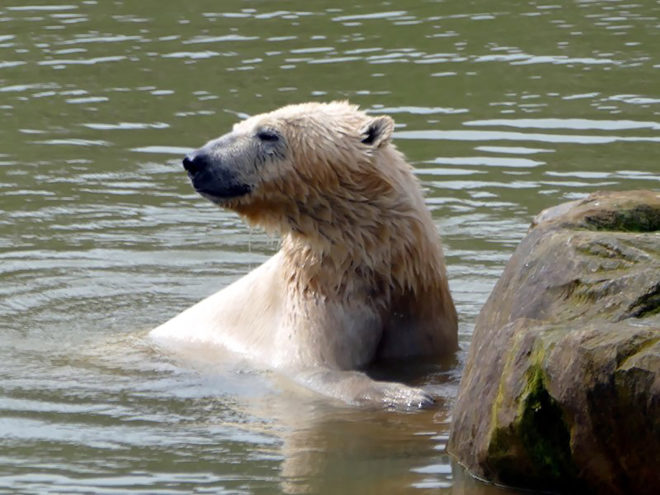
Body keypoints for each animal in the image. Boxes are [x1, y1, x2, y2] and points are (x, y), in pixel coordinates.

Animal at [150, 101, 458, 408]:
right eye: (237, 128)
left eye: (267, 134)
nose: (195, 161)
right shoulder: (313, 300)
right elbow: (313, 371)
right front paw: (408, 393)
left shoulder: (419, 305)